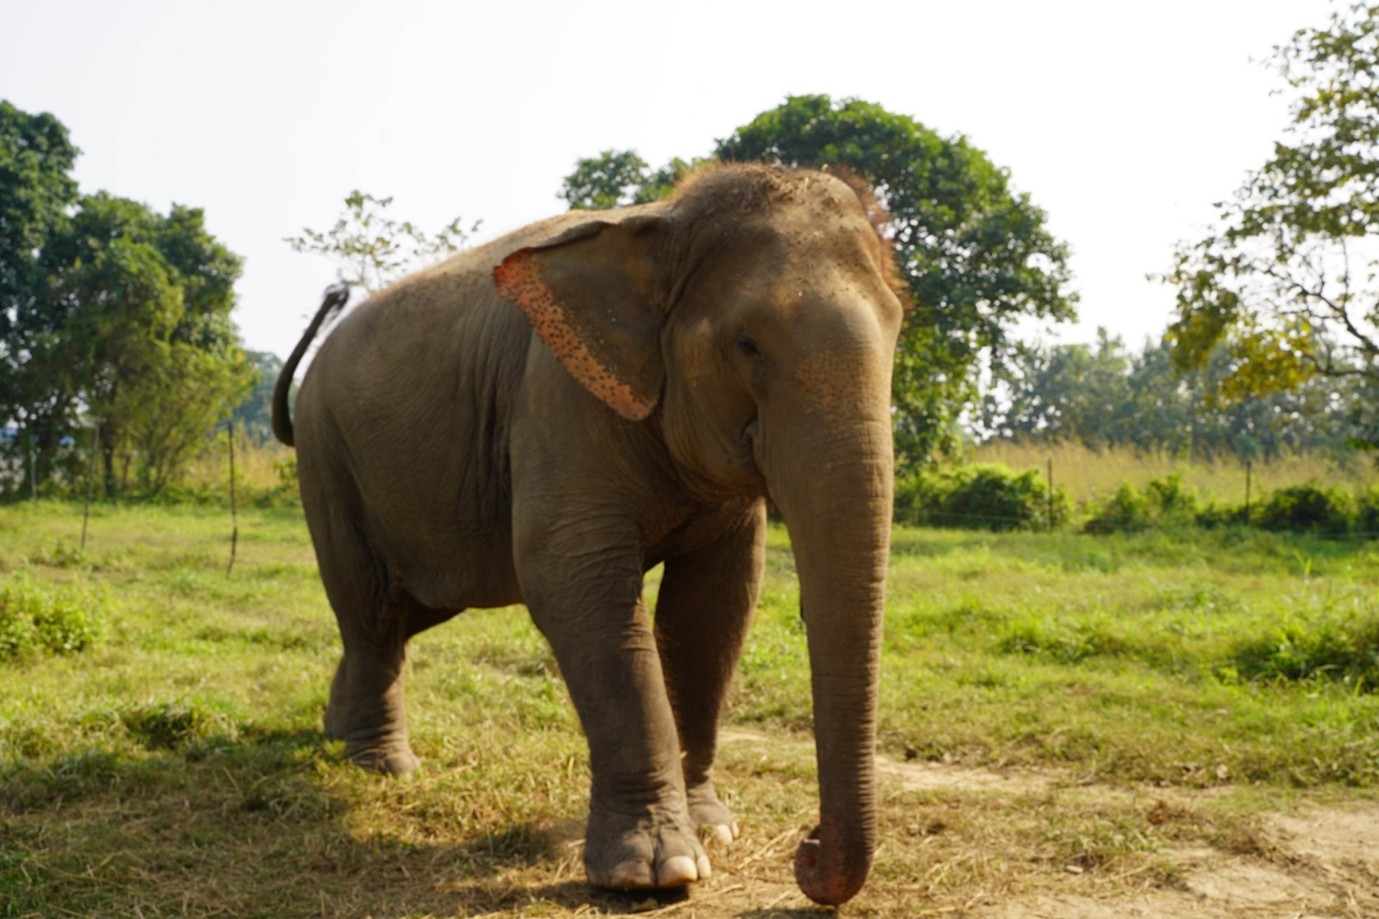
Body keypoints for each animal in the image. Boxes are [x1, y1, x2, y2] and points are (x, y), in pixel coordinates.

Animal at [271, 164, 905, 906]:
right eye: (747, 344)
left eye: (897, 329)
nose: (806, 850)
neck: (664, 221)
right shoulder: (557, 398)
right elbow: (573, 580)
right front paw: (656, 872)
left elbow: (715, 605)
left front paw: (712, 829)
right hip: (328, 460)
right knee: (368, 607)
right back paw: (384, 766)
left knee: (399, 616)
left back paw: (335, 732)